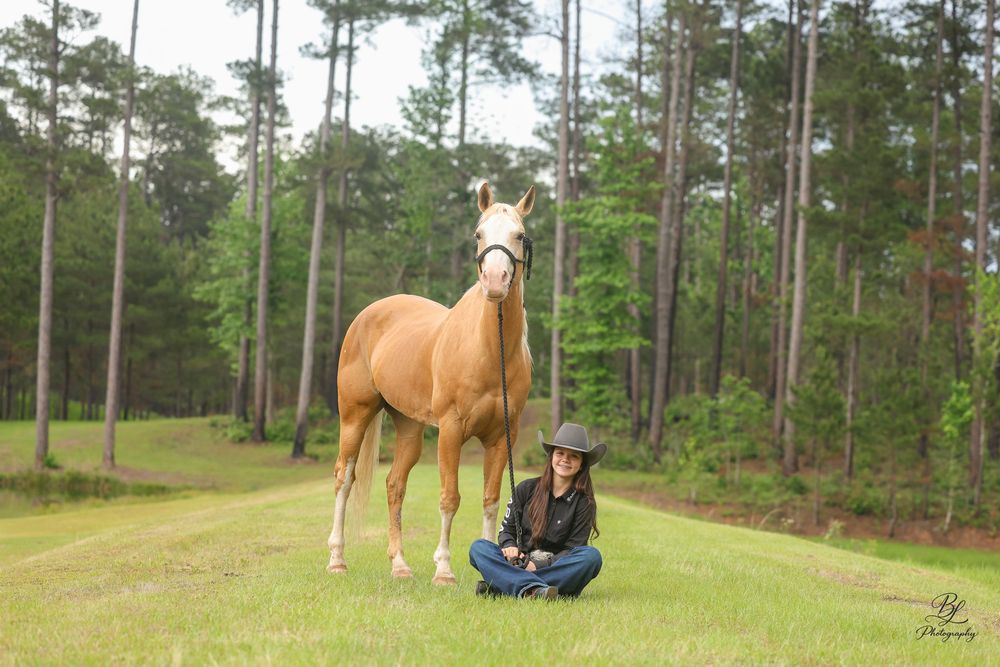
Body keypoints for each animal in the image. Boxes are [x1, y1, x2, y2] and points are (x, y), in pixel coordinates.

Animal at [326, 181, 535, 584]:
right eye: (478, 233)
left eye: (519, 235)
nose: (495, 282)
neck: (489, 351)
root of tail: (367, 315)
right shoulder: (451, 429)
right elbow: (449, 497)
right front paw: (444, 569)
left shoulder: (503, 437)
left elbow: (490, 500)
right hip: (355, 416)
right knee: (344, 478)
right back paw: (337, 560)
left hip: (409, 426)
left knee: (395, 485)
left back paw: (400, 565)